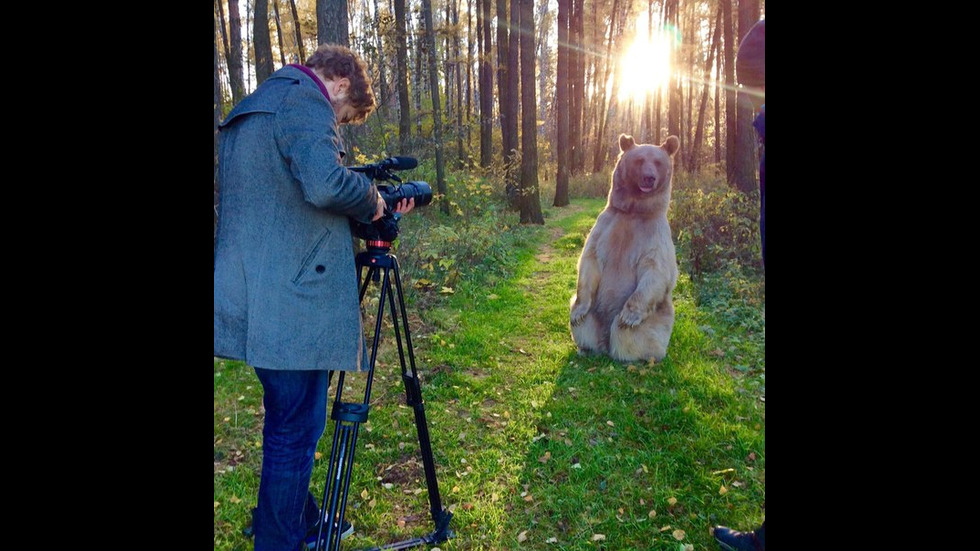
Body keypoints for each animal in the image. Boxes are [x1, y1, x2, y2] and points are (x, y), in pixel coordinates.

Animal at [572, 135, 676, 362]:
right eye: (639, 160)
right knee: (584, 324)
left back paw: (639, 356)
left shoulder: (655, 234)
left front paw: (629, 316)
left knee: (630, 335)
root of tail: (604, 344)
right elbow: (589, 259)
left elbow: (656, 269)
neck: (634, 210)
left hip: (656, 317)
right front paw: (578, 313)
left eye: (658, 162)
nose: (649, 178)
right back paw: (585, 346)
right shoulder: (605, 227)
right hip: (595, 310)